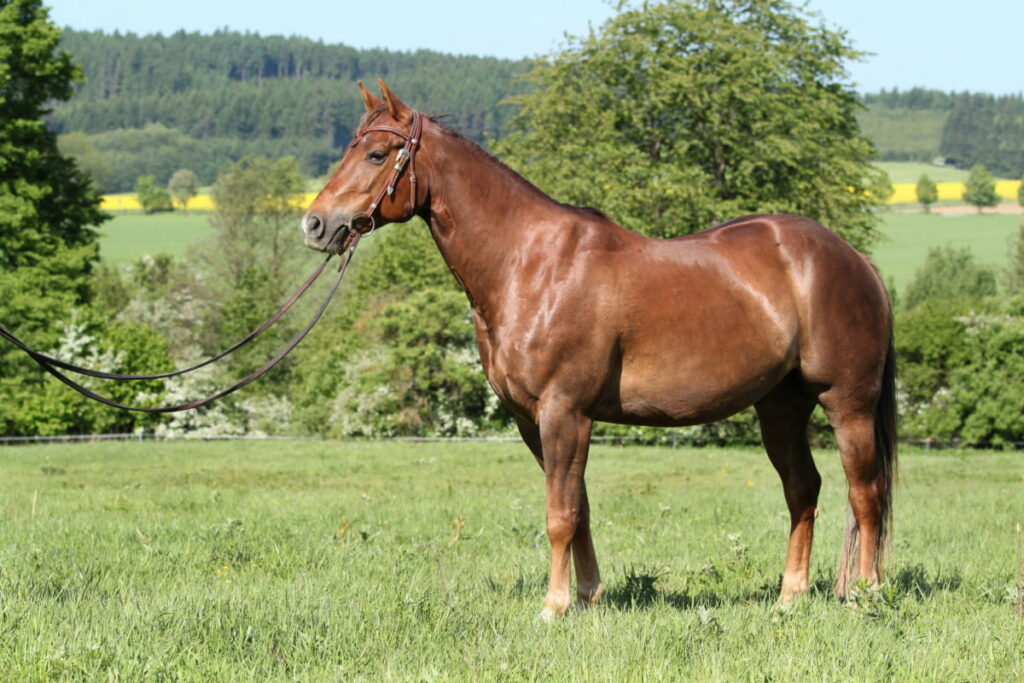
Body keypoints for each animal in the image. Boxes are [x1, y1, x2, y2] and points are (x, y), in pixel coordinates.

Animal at [303, 80, 897, 618]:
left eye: (377, 153)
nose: (315, 224)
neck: (530, 263)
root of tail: (853, 259)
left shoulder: (565, 412)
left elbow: (560, 515)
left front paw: (555, 605)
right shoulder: (534, 420)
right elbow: (578, 507)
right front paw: (588, 595)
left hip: (847, 403)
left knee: (865, 493)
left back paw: (866, 594)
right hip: (781, 406)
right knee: (803, 488)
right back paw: (789, 598)